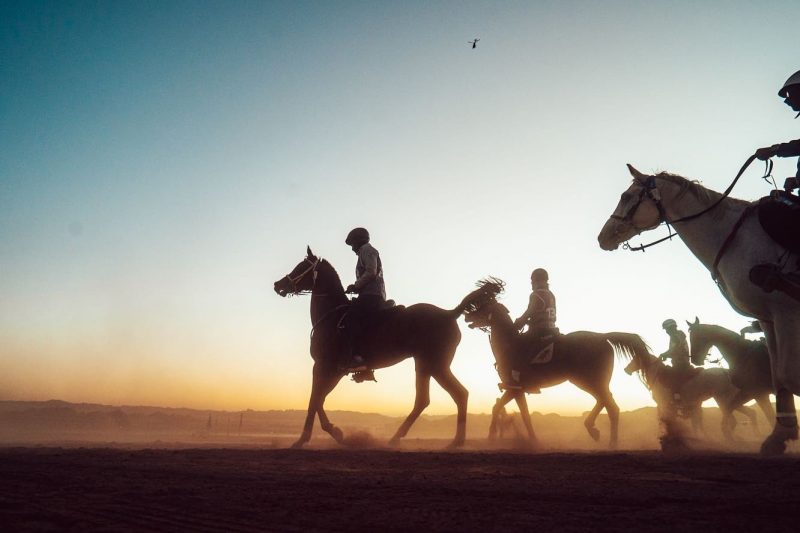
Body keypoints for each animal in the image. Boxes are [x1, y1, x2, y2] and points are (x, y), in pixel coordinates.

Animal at [272, 247, 490, 446]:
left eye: (301, 267)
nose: (278, 284)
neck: (332, 316)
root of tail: (449, 313)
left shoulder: (324, 366)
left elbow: (314, 399)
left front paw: (304, 439)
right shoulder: (333, 370)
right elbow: (319, 399)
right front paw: (335, 432)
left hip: (435, 365)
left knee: (454, 394)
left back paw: (452, 441)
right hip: (425, 365)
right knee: (431, 399)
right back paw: (405, 438)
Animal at [462, 278, 648, 448]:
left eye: (484, 306)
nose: (466, 316)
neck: (509, 344)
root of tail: (603, 337)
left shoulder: (514, 388)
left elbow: (500, 408)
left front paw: (491, 436)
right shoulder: (517, 391)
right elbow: (524, 415)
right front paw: (533, 439)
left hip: (588, 380)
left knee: (611, 406)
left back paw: (611, 442)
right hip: (591, 381)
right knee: (605, 400)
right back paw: (593, 429)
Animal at [596, 163, 796, 454]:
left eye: (626, 196)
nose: (603, 237)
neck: (735, 238)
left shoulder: (783, 311)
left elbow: (787, 372)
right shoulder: (768, 318)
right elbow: (779, 373)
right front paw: (779, 435)